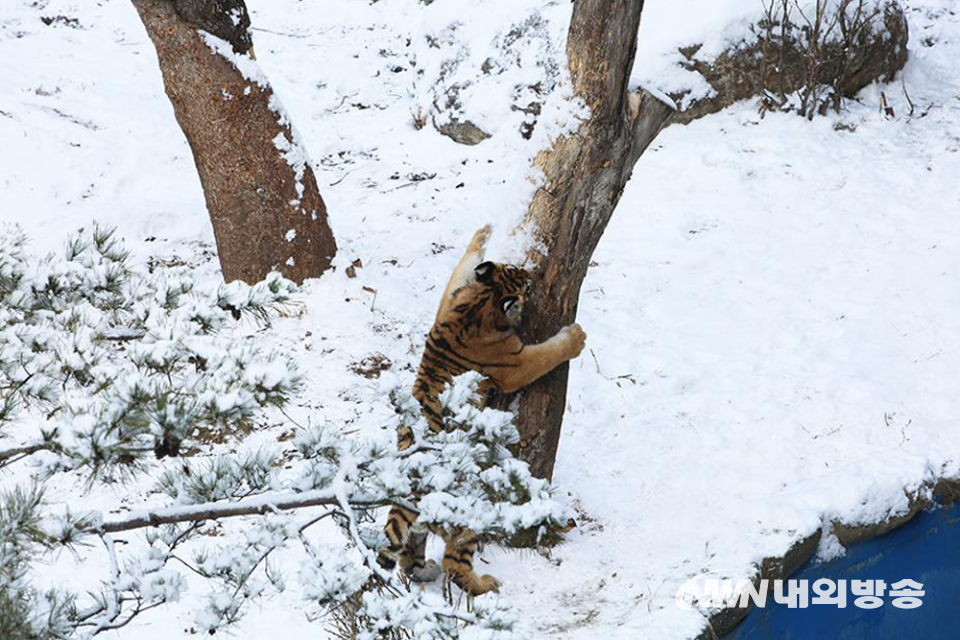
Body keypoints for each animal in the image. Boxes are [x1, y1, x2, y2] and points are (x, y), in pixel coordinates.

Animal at [378, 224, 588, 596]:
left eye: (516, 270)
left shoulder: (448, 299)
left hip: (417, 528)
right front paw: (575, 338)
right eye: (525, 285)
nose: (531, 275)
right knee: (455, 565)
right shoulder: (515, 363)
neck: (479, 305)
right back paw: (484, 584)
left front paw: (482, 233)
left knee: (409, 552)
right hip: (471, 512)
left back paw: (424, 570)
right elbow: (547, 353)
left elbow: (461, 266)